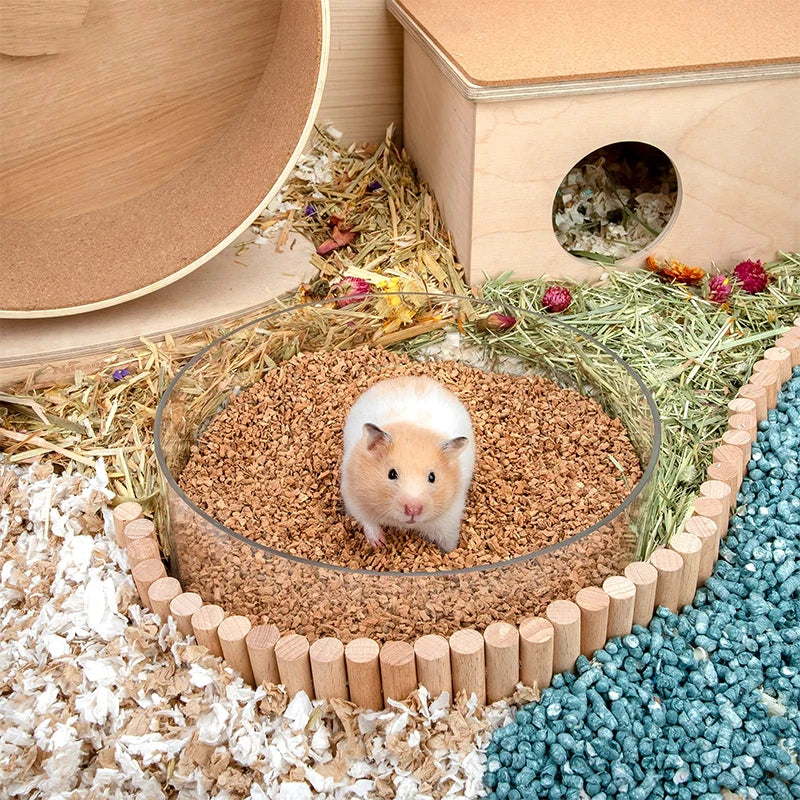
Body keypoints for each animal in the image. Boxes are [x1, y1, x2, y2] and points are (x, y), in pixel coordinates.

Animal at [341, 376, 475, 553]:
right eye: (391, 474)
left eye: (432, 477)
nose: (413, 510)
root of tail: (411, 377)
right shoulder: (354, 498)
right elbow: (368, 522)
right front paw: (380, 543)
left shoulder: (449, 517)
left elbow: (448, 540)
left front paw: (449, 552)